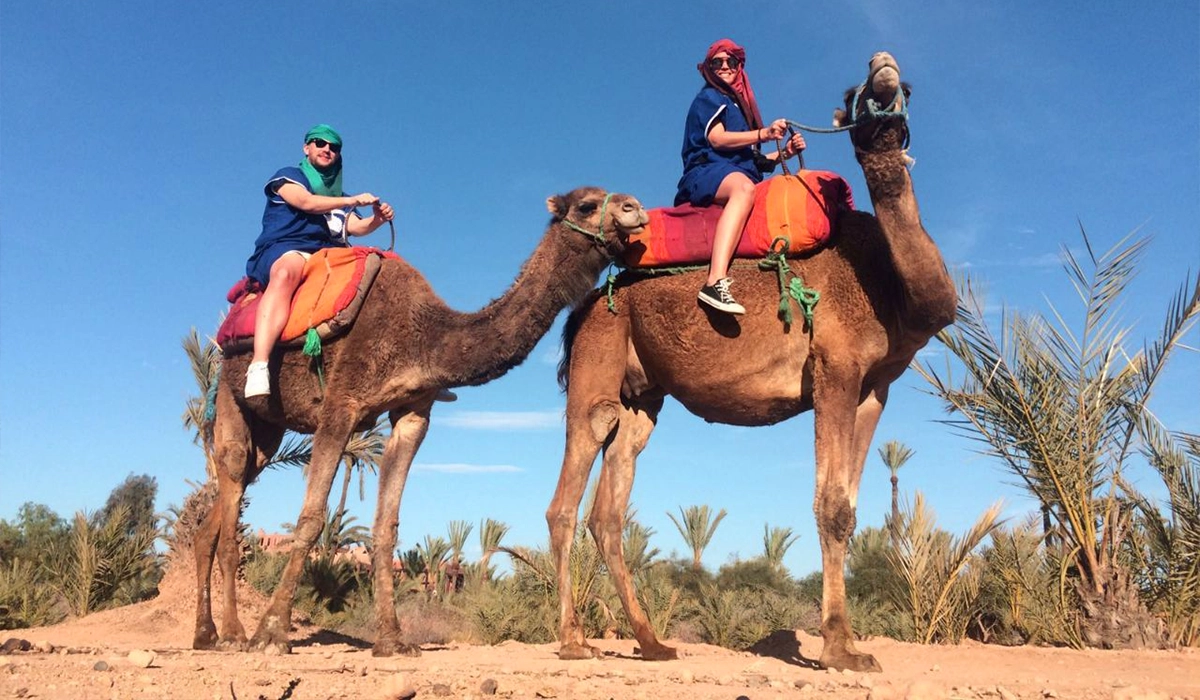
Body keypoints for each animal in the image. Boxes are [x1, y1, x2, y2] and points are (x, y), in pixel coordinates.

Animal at [194, 186, 648, 657]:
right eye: (587, 205)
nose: (634, 208)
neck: (423, 337)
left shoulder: (413, 412)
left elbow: (386, 526)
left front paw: (392, 640)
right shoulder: (342, 403)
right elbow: (311, 518)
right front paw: (271, 634)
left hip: (269, 430)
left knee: (220, 510)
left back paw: (206, 633)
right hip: (231, 394)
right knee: (232, 489)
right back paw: (234, 634)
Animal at [547, 51, 955, 672]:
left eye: (903, 85)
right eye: (854, 93)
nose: (883, 64)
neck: (885, 282)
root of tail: (585, 308)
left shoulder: (874, 386)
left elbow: (851, 509)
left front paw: (847, 644)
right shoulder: (834, 368)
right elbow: (831, 506)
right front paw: (840, 648)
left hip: (641, 396)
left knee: (609, 509)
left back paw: (652, 643)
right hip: (598, 358)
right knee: (570, 491)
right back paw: (573, 641)